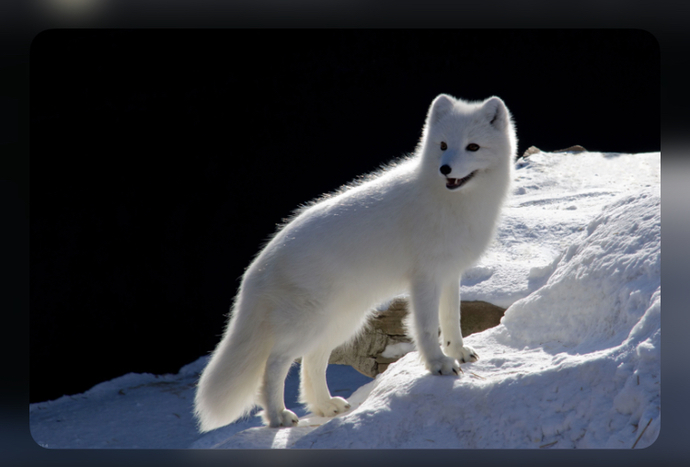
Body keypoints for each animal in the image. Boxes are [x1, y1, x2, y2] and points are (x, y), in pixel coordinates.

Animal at [194, 94, 517, 431]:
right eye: (442, 145)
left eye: (473, 147)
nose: (445, 168)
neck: (454, 202)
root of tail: (257, 266)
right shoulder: (425, 278)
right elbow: (427, 328)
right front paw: (438, 365)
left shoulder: (450, 274)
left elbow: (452, 319)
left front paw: (459, 352)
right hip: (310, 324)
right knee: (275, 363)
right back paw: (278, 416)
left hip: (341, 323)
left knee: (311, 362)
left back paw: (325, 406)